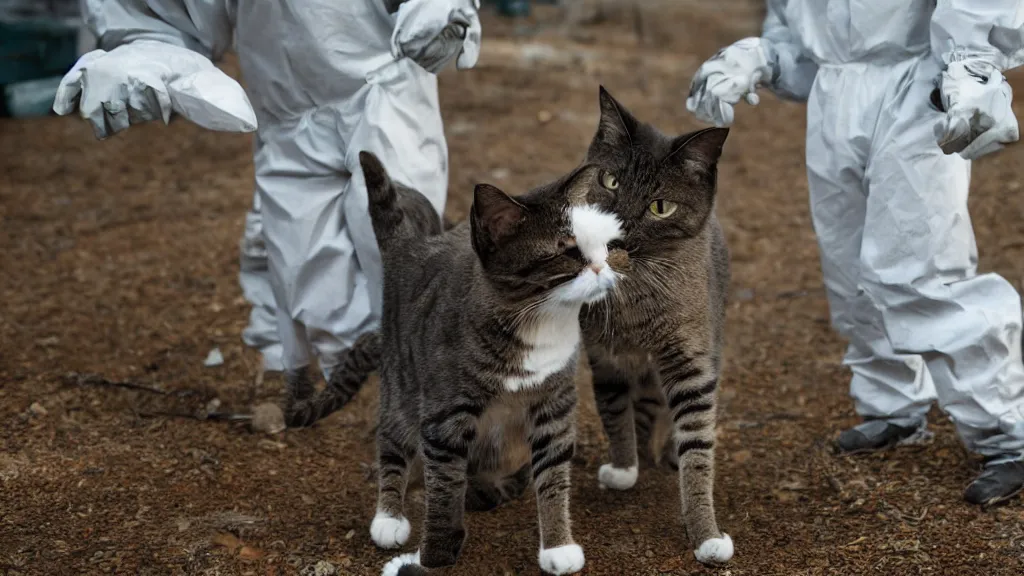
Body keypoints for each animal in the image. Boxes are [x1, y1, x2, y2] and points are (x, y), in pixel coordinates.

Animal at [362, 148, 622, 573]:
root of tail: (411, 248)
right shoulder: (445, 413)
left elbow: (553, 474)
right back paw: (389, 516)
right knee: (393, 441)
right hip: (400, 385)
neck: (537, 320)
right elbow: (444, 485)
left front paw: (558, 546)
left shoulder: (554, 401)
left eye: (602, 245)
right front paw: (436, 553)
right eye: (569, 250)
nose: (603, 268)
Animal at [581, 87, 733, 561]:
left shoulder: (691, 360)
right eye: (610, 182)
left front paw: (706, 534)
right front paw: (625, 467)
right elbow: (615, 414)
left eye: (660, 207)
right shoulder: (604, 357)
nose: (614, 234)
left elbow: (698, 447)